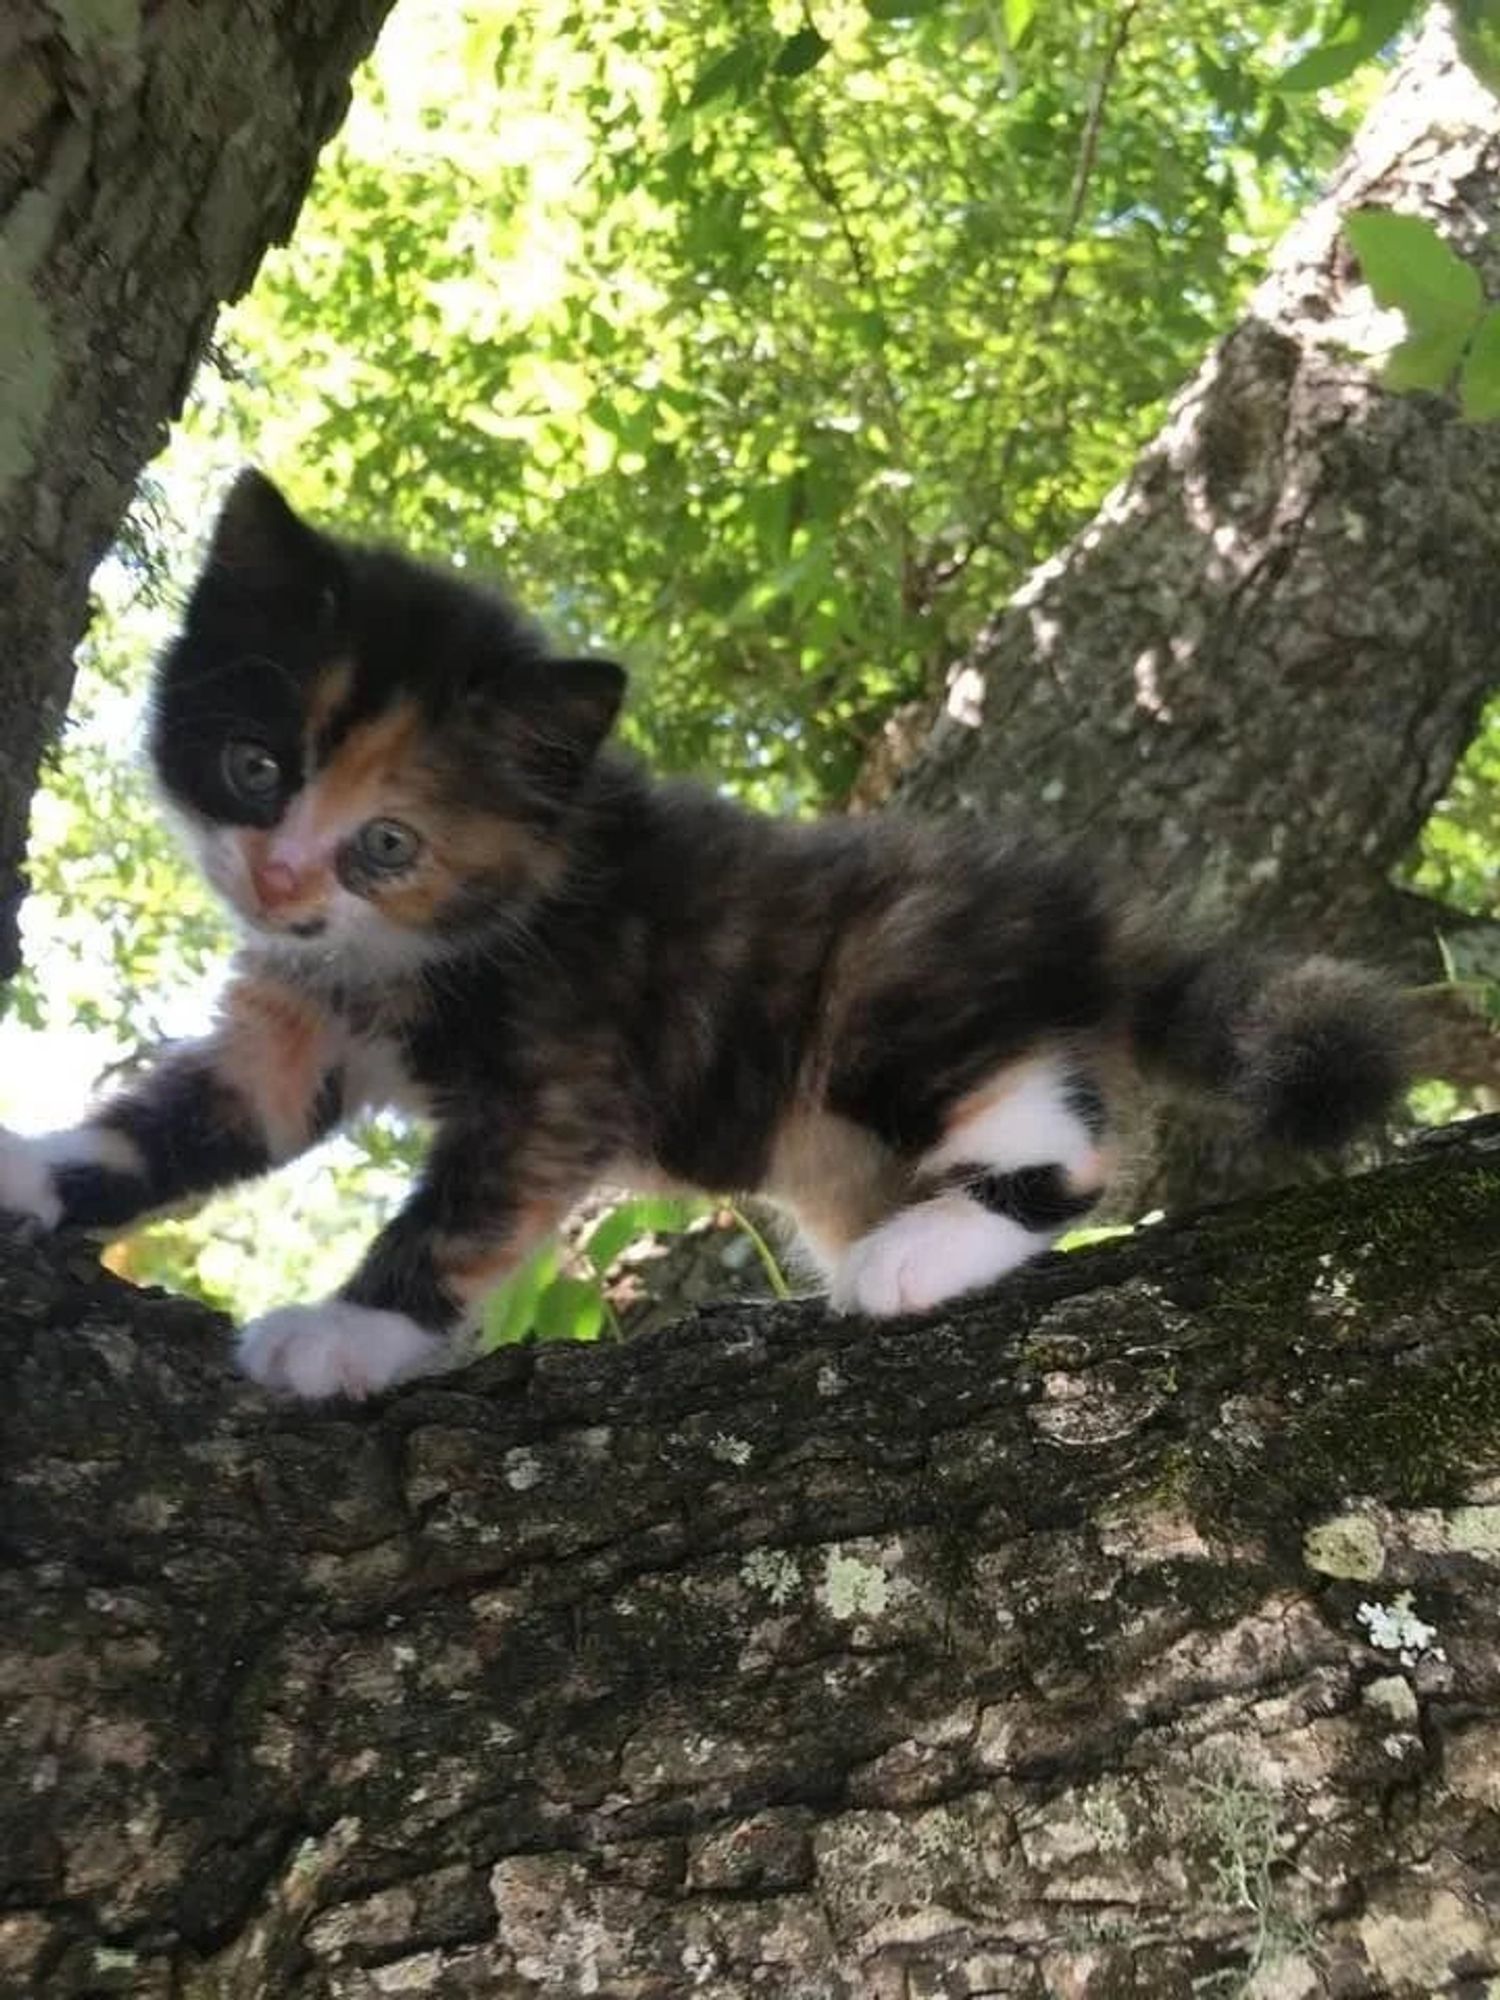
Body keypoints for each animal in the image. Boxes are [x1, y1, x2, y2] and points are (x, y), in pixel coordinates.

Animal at [0, 474, 1408, 1400]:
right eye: (254, 767)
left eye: (388, 843)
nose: (280, 874)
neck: (420, 945)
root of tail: (1063, 904)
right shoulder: (286, 1041)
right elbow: (177, 1120)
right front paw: (34, 1170)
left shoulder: (559, 1076)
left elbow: (460, 1214)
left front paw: (349, 1334)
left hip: (889, 994)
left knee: (1072, 1148)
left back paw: (923, 1251)